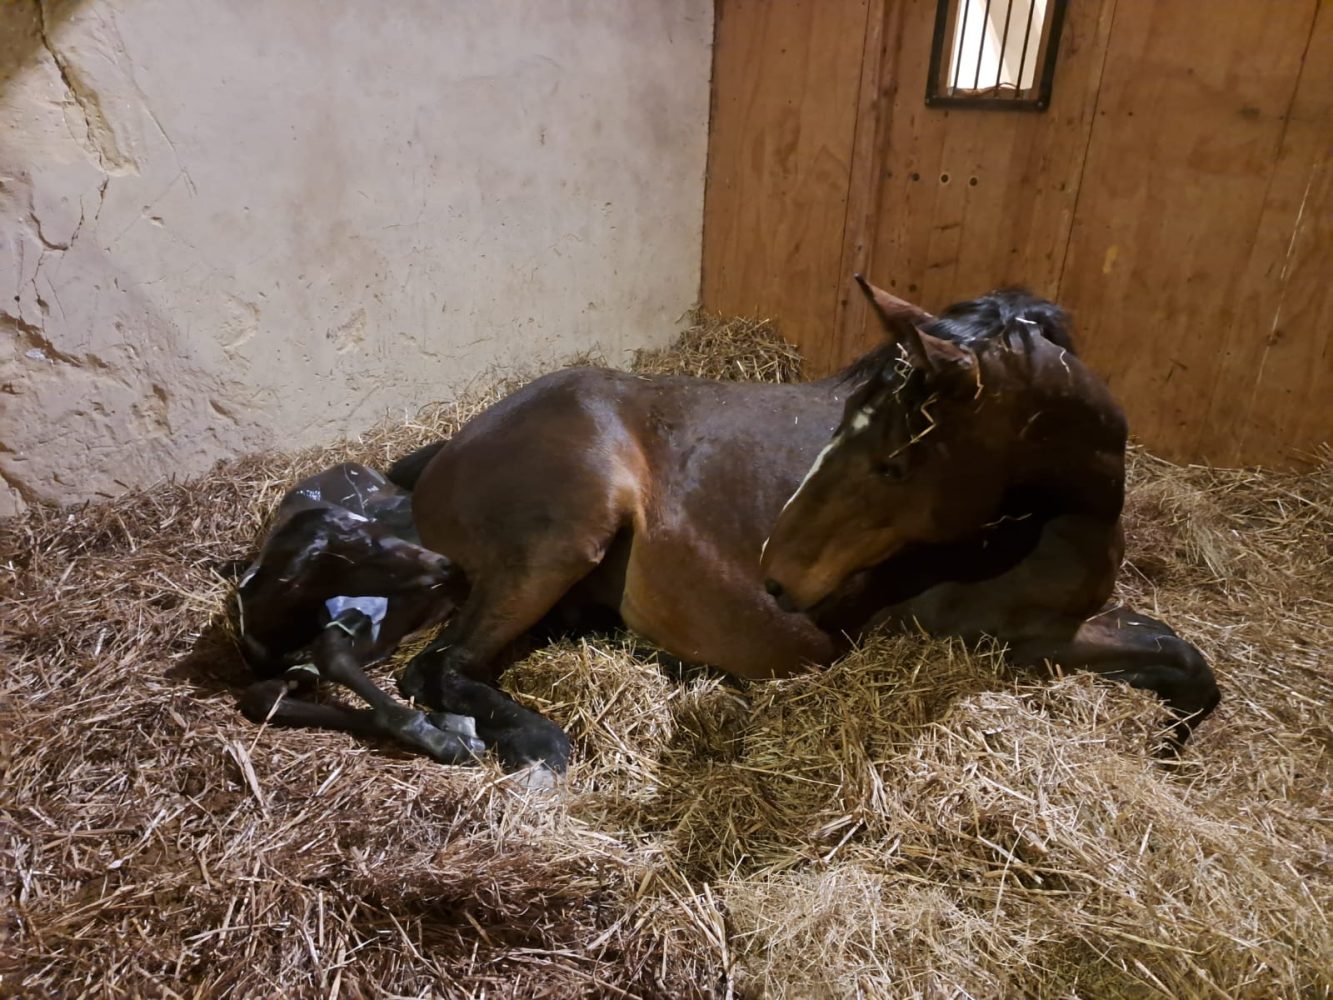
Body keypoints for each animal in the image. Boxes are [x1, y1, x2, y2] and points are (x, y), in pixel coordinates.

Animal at [234, 461, 571, 770]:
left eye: (374, 532)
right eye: (360, 554)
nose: (446, 565)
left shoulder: (366, 615)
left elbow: (331, 651)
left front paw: (447, 738)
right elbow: (262, 697)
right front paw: (450, 729)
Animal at [391, 275, 1220, 769]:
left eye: (892, 465)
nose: (777, 577)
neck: (1052, 517)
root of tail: (446, 452)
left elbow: (1176, 652)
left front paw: (1169, 744)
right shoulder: (1009, 639)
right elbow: (1182, 661)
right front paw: (1169, 743)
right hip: (563, 537)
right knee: (439, 667)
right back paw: (538, 742)